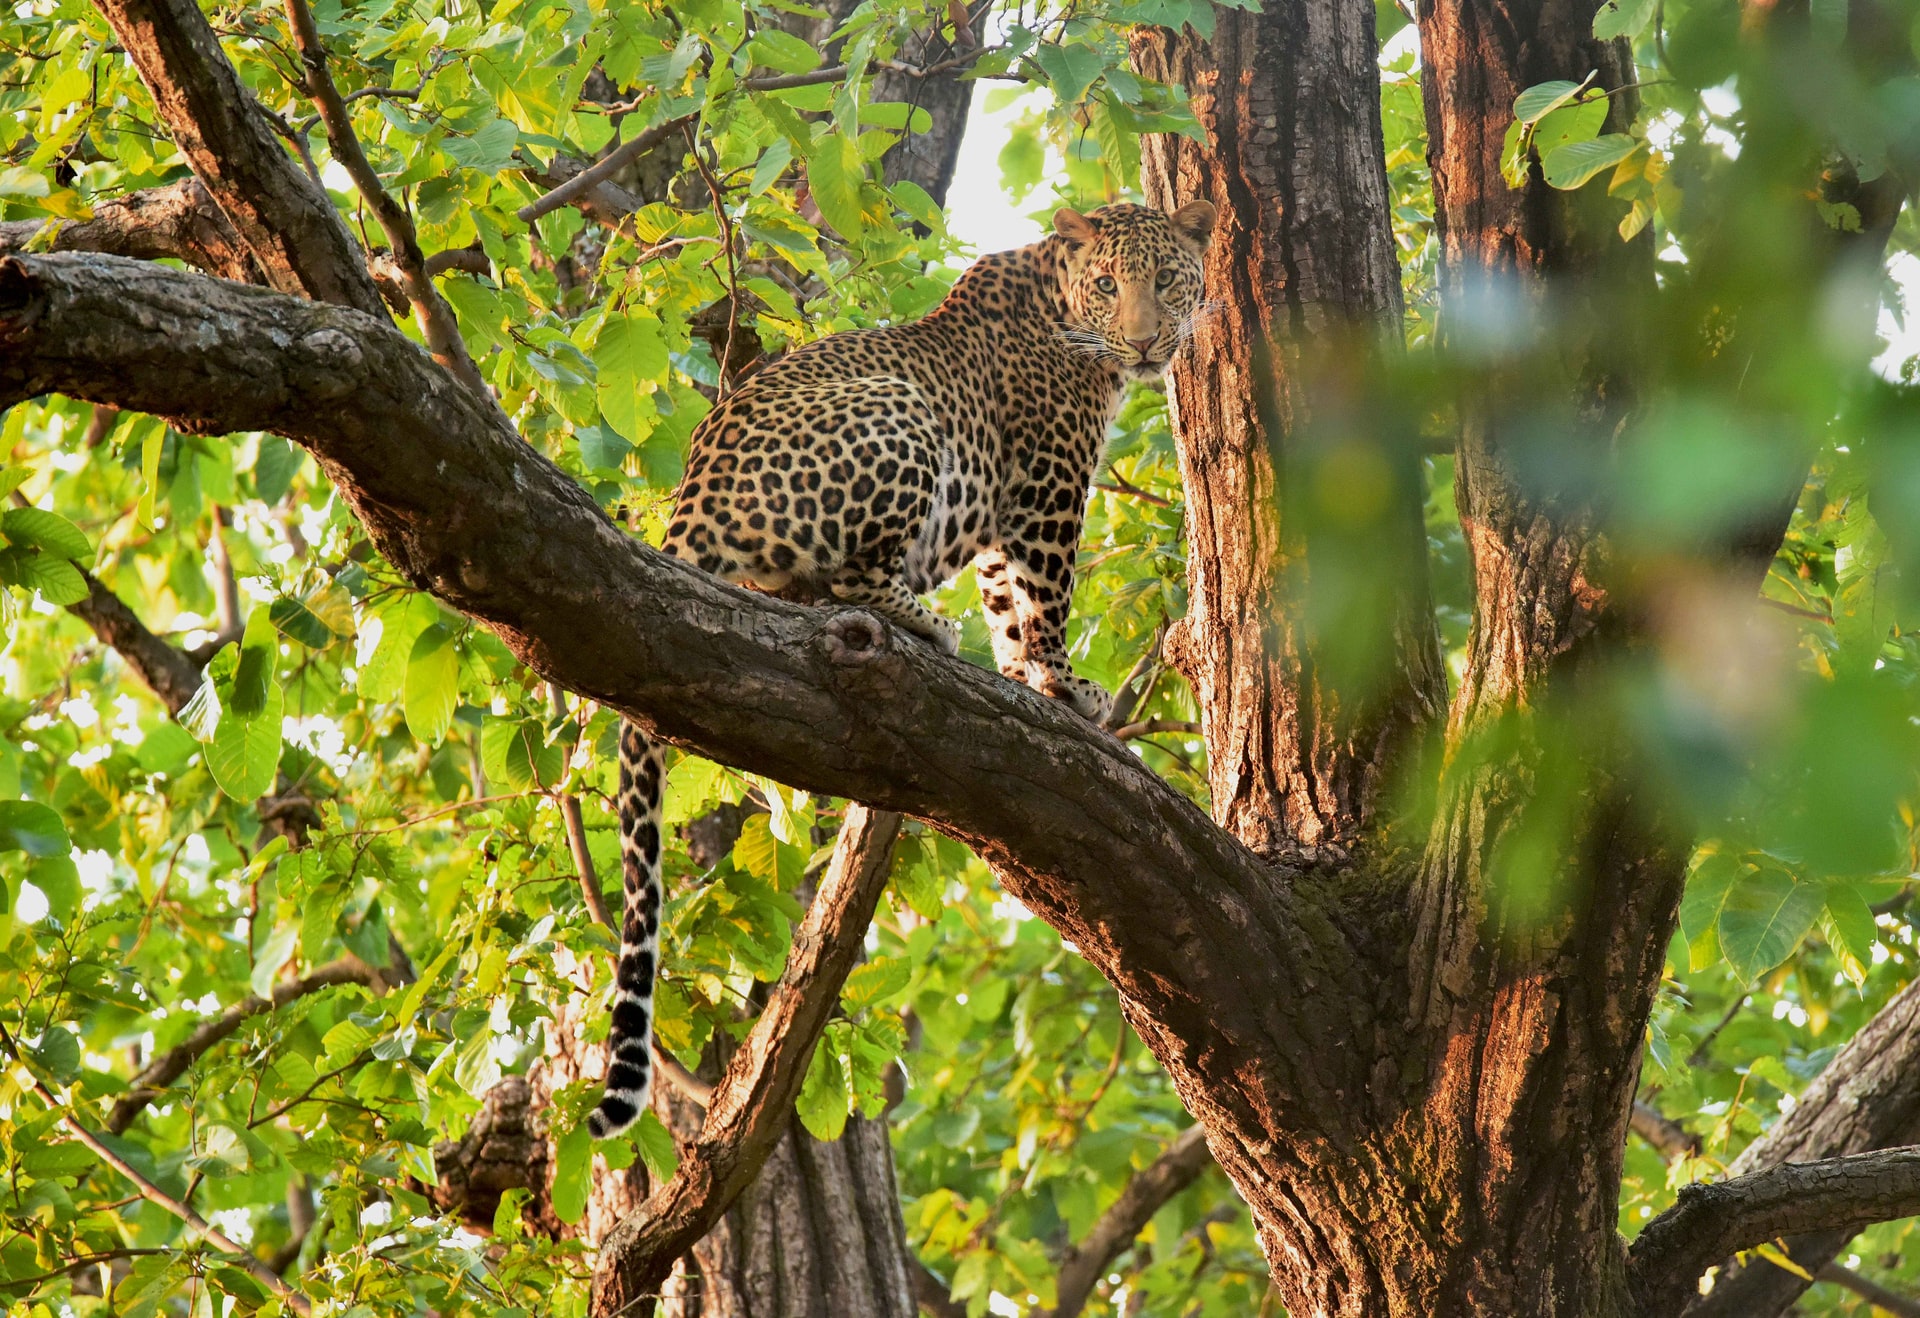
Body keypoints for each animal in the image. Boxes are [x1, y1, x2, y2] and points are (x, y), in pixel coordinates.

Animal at [583, 201, 1213, 1137]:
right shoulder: (1048, 488)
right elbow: (1047, 598)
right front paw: (1064, 684)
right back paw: (924, 622)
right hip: (899, 410)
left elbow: (1008, 607)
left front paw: (1024, 679)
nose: (1142, 342)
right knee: (850, 579)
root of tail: (694, 495)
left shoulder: (1001, 519)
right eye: (1108, 285)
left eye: (1168, 281)